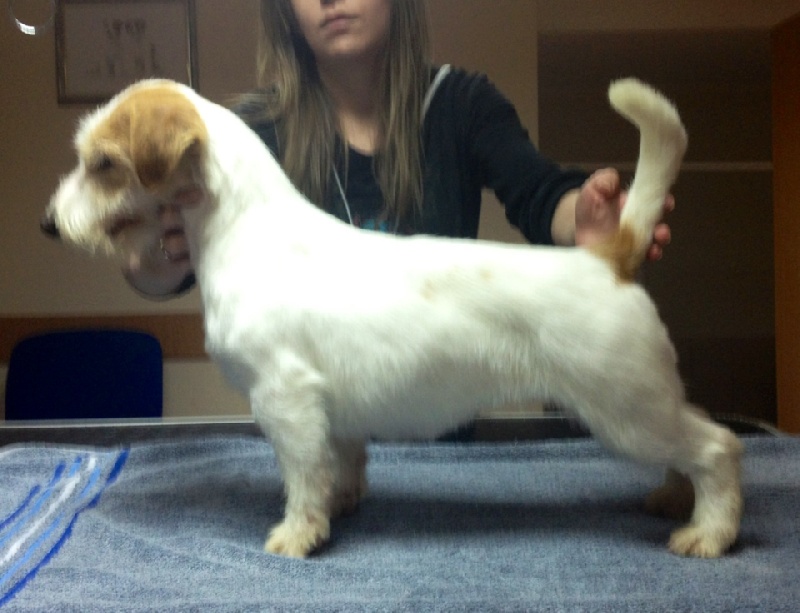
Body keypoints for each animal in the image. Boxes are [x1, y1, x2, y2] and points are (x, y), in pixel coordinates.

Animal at [42, 77, 742, 559]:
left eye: (102, 163)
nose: (48, 224)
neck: (243, 227)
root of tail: (610, 256)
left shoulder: (285, 399)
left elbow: (302, 476)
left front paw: (297, 535)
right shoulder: (328, 410)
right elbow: (341, 462)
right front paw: (340, 505)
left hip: (627, 409)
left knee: (717, 446)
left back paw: (709, 532)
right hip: (646, 402)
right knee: (696, 436)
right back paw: (675, 501)